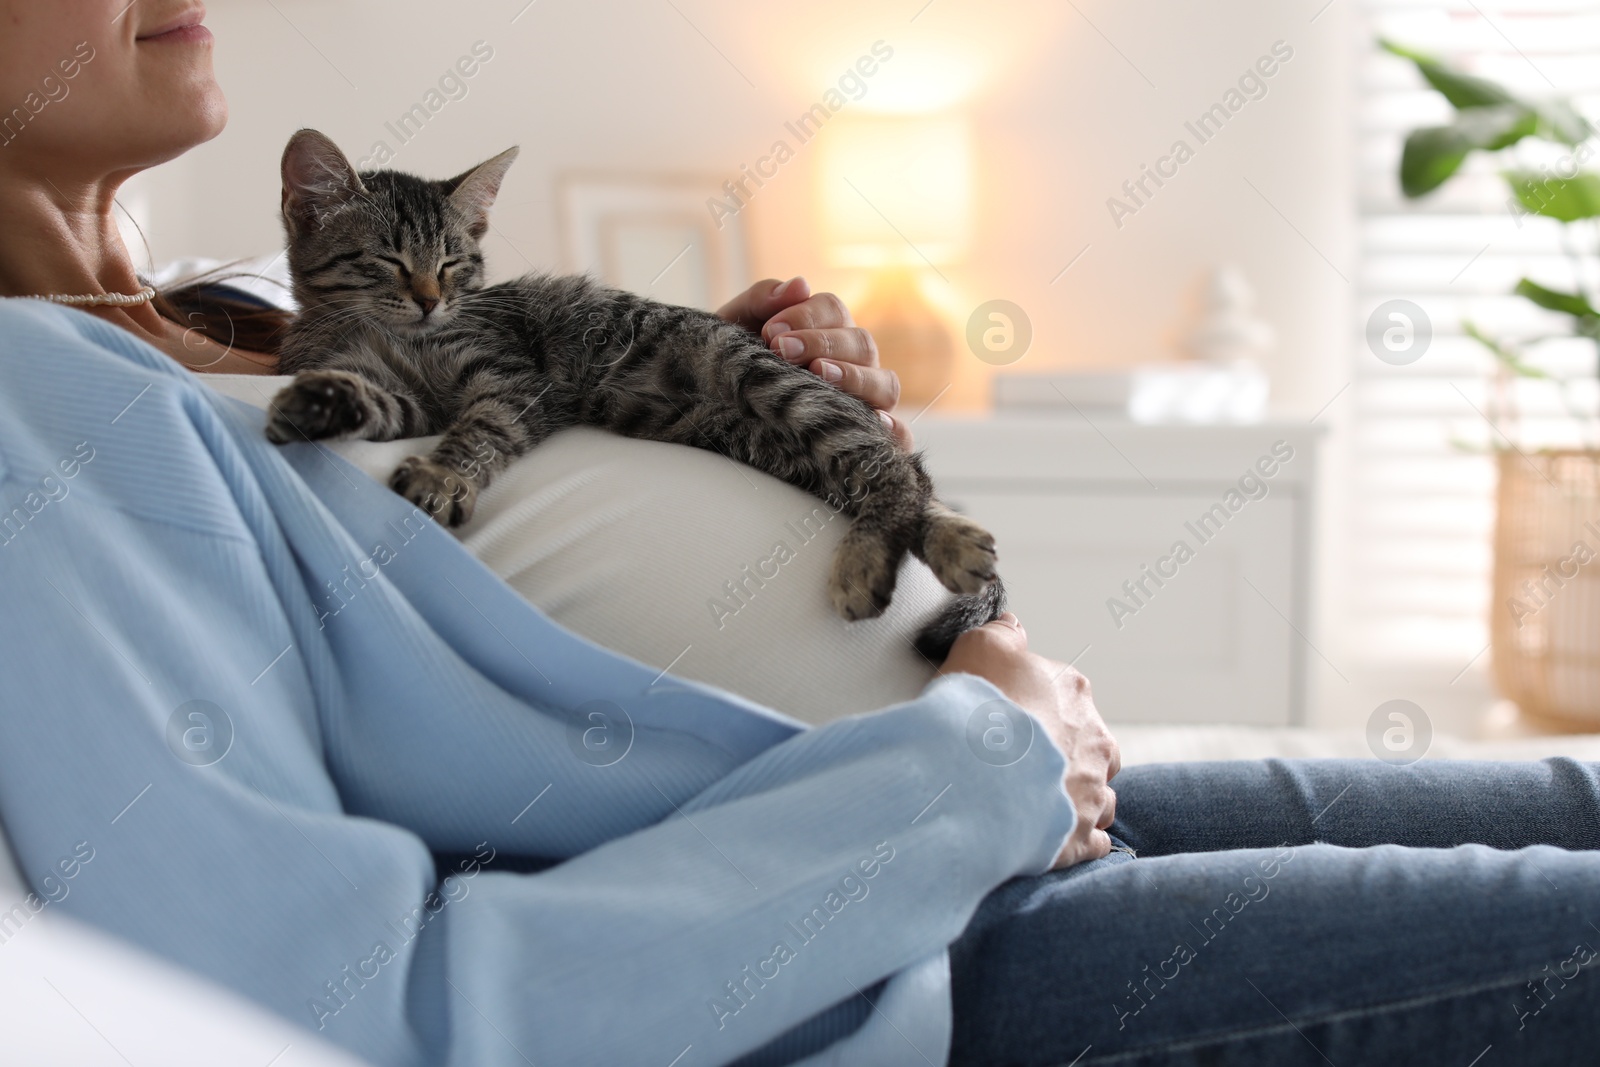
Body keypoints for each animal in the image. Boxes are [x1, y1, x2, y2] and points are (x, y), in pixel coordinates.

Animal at [268, 127, 1004, 655]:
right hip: (765, 443)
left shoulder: (513, 380)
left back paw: (867, 562)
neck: (386, 333)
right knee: (896, 482)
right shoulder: (414, 398)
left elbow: (482, 429)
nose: (428, 299)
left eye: (452, 263)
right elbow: (382, 401)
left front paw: (445, 475)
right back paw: (956, 541)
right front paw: (321, 402)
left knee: (893, 470)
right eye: (387, 259)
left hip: (760, 376)